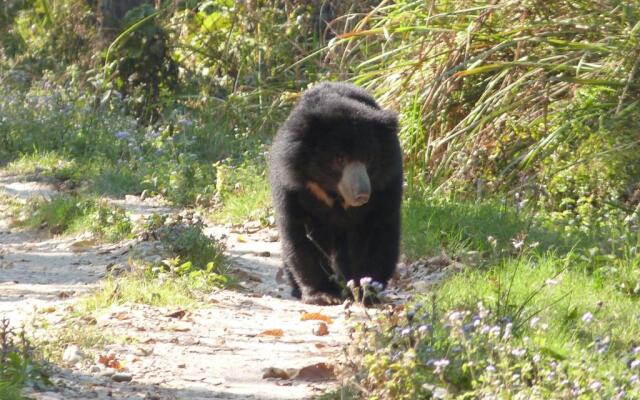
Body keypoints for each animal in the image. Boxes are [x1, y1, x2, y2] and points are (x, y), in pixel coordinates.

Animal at [268, 83, 400, 304]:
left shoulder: (386, 184)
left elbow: (380, 231)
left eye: (369, 159)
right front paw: (323, 294)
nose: (362, 194)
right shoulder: (293, 185)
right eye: (339, 159)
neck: (334, 192)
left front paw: (368, 291)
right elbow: (299, 235)